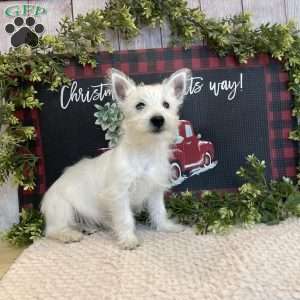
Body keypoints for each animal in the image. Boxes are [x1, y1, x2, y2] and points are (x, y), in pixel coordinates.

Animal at [40, 67, 190, 250]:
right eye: (140, 106)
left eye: (166, 105)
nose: (158, 119)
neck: (145, 150)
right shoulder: (119, 194)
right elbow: (125, 219)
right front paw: (128, 240)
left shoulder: (155, 191)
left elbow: (159, 211)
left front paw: (166, 227)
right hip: (63, 207)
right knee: (53, 230)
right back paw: (68, 234)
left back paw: (86, 228)